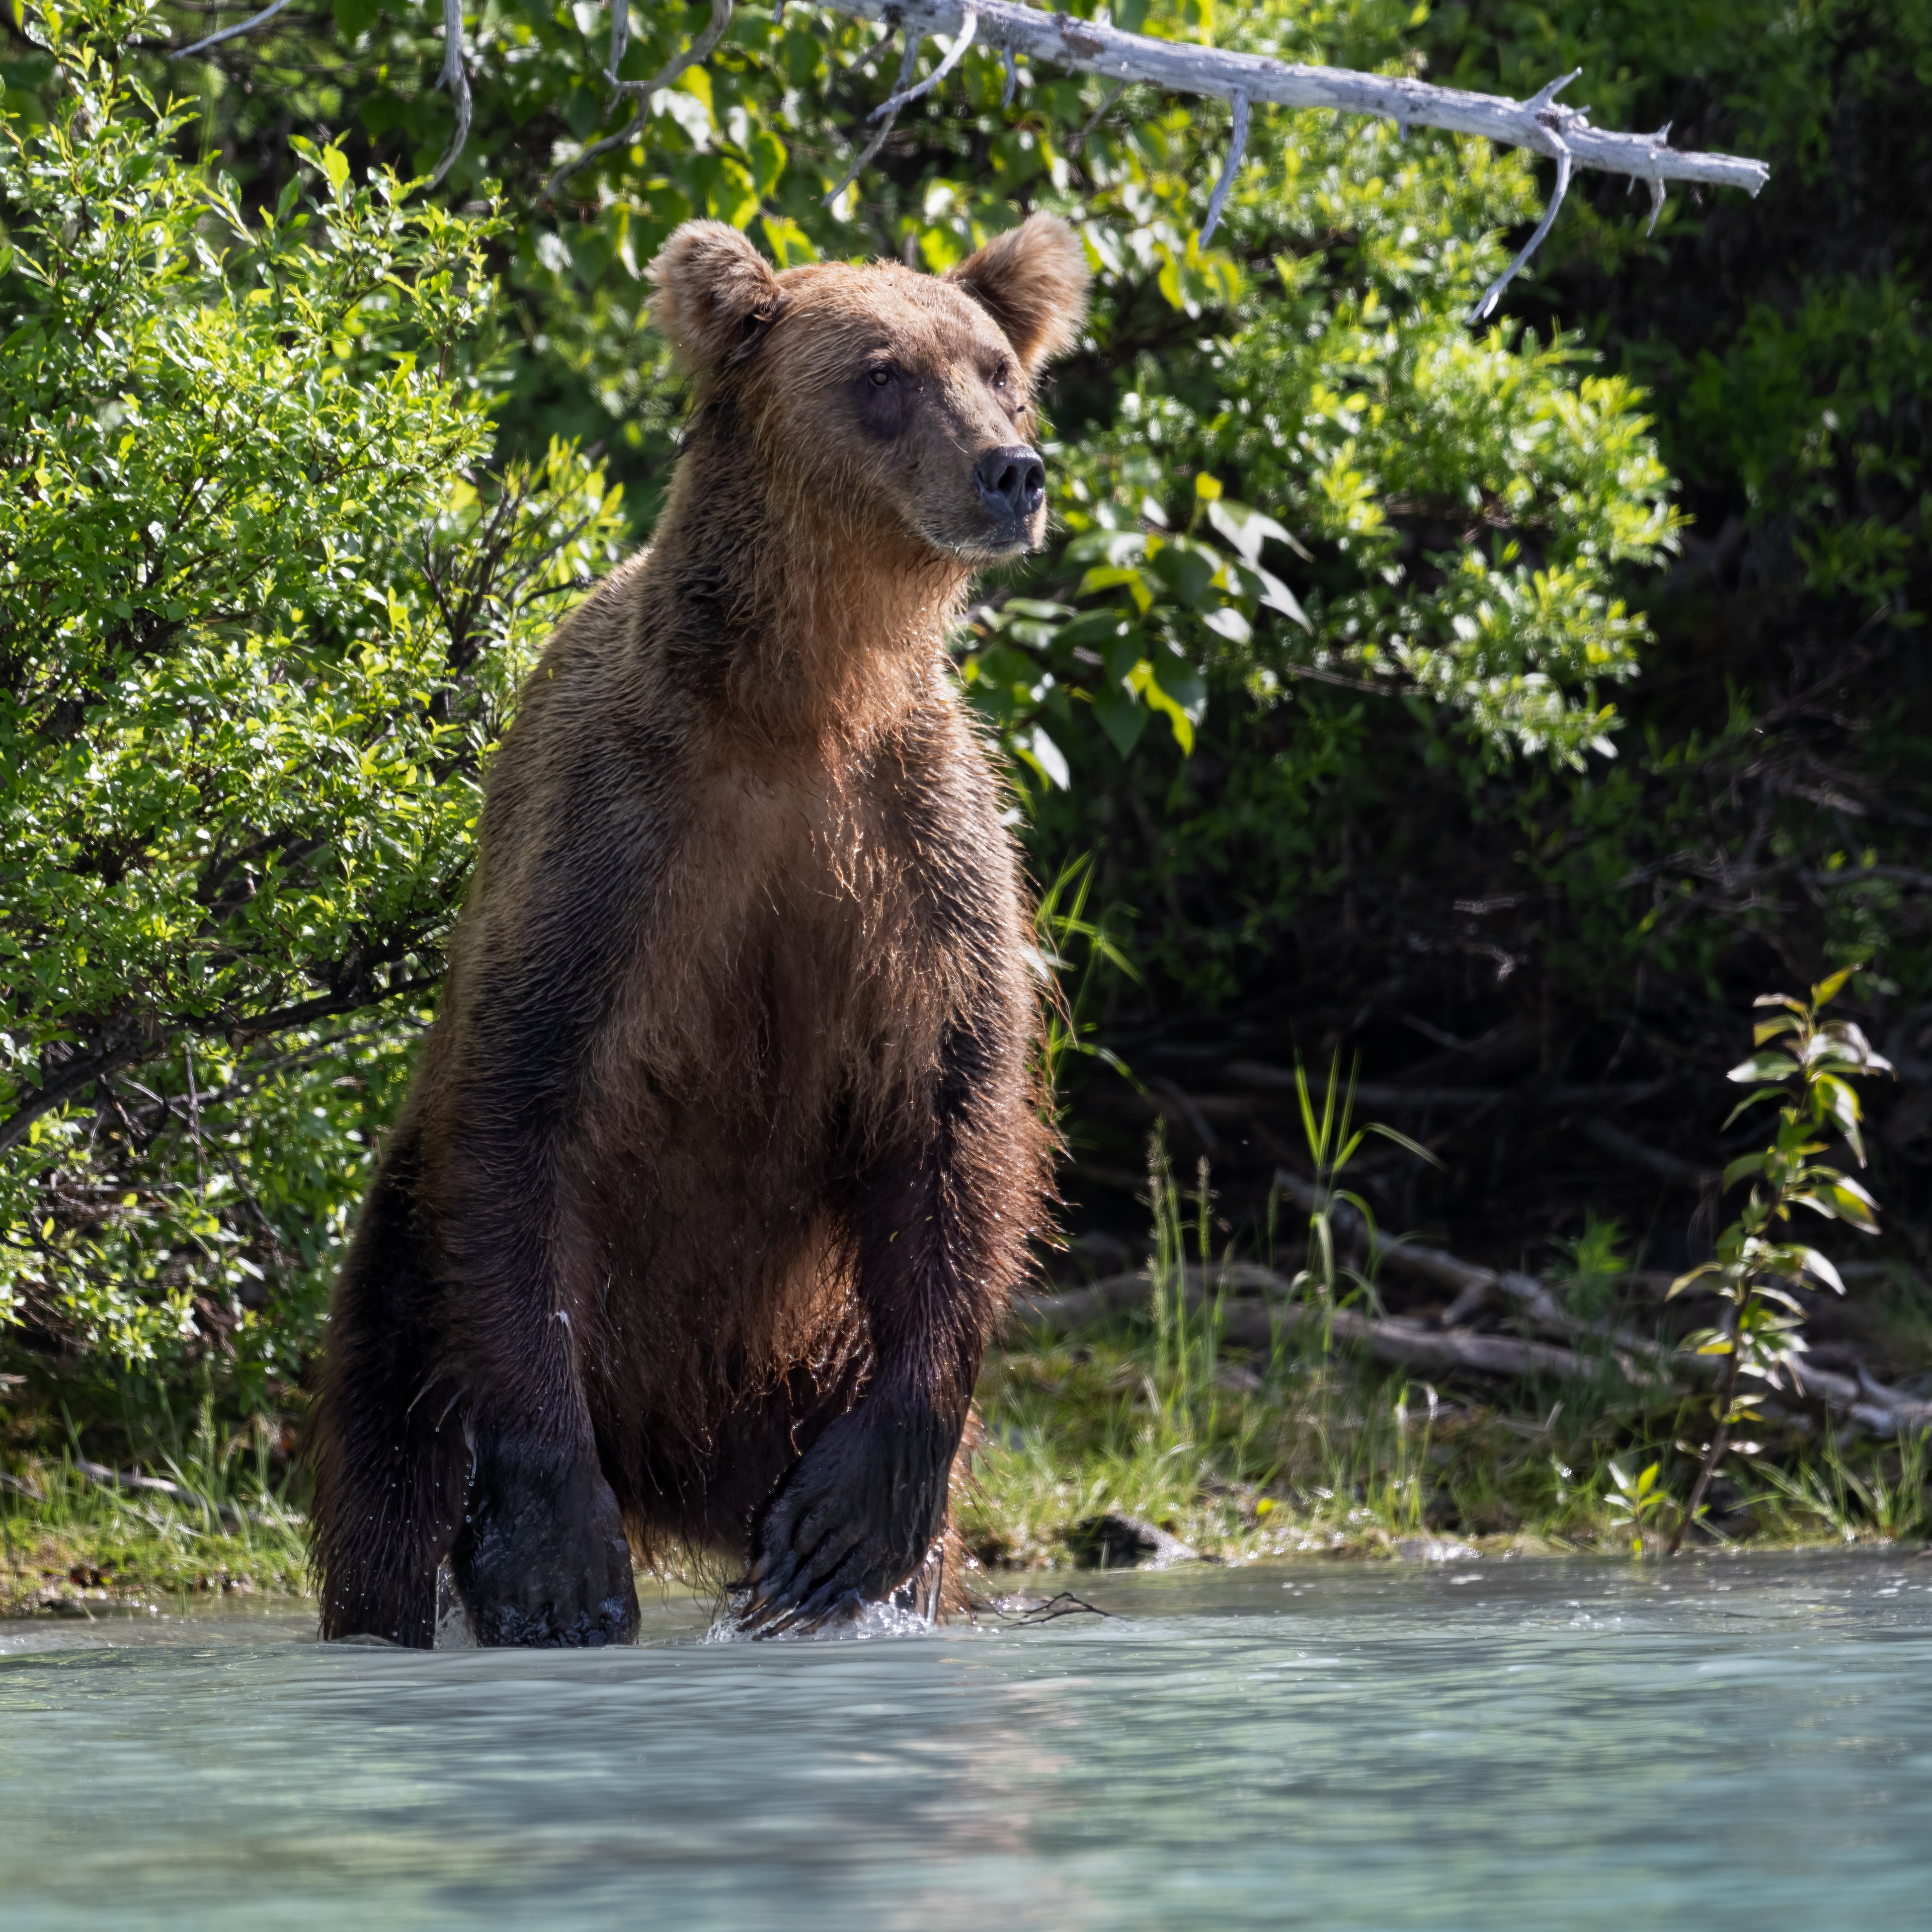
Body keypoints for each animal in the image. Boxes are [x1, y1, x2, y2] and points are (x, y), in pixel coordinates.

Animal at [307, 212, 1090, 1647]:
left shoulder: (923, 854)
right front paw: (556, 1565)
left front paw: (845, 1531)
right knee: (393, 1489)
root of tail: (672, 1463)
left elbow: (958, 1116)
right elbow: (523, 1101)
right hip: (406, 1287)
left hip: (808, 1357)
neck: (802, 703)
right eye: (882, 374)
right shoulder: (623, 843)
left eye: (999, 369)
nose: (1010, 473)